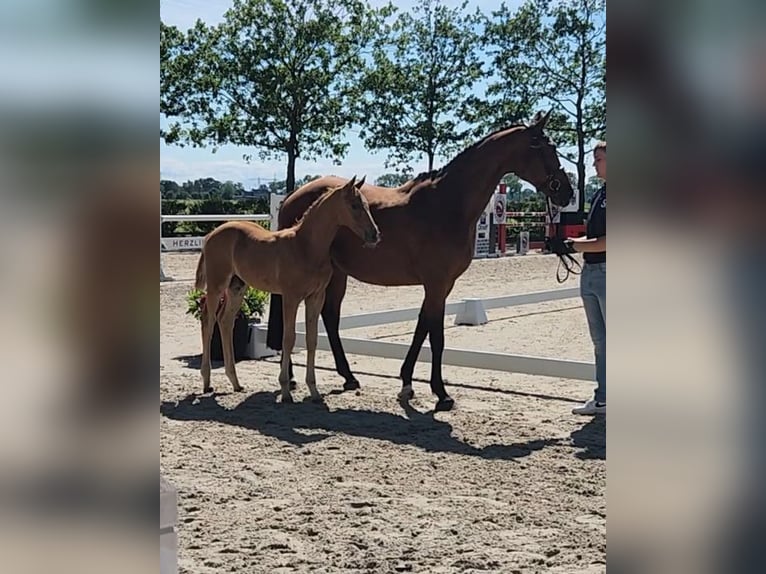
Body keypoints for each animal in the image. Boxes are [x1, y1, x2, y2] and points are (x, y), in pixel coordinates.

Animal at [193, 176, 380, 403]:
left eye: (367, 205)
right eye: (354, 205)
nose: (375, 234)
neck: (305, 246)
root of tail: (211, 234)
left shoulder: (315, 297)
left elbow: (311, 340)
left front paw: (314, 391)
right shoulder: (291, 297)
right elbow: (288, 338)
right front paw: (285, 391)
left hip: (237, 287)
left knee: (225, 321)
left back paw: (235, 382)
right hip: (216, 285)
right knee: (208, 321)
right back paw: (206, 382)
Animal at [266, 110, 575, 412]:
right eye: (544, 147)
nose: (567, 192)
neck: (447, 204)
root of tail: (292, 197)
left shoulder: (442, 284)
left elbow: (422, 327)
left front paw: (407, 384)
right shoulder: (437, 282)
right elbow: (436, 336)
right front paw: (441, 393)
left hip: (337, 273)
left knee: (329, 317)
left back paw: (347, 377)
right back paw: (292, 378)